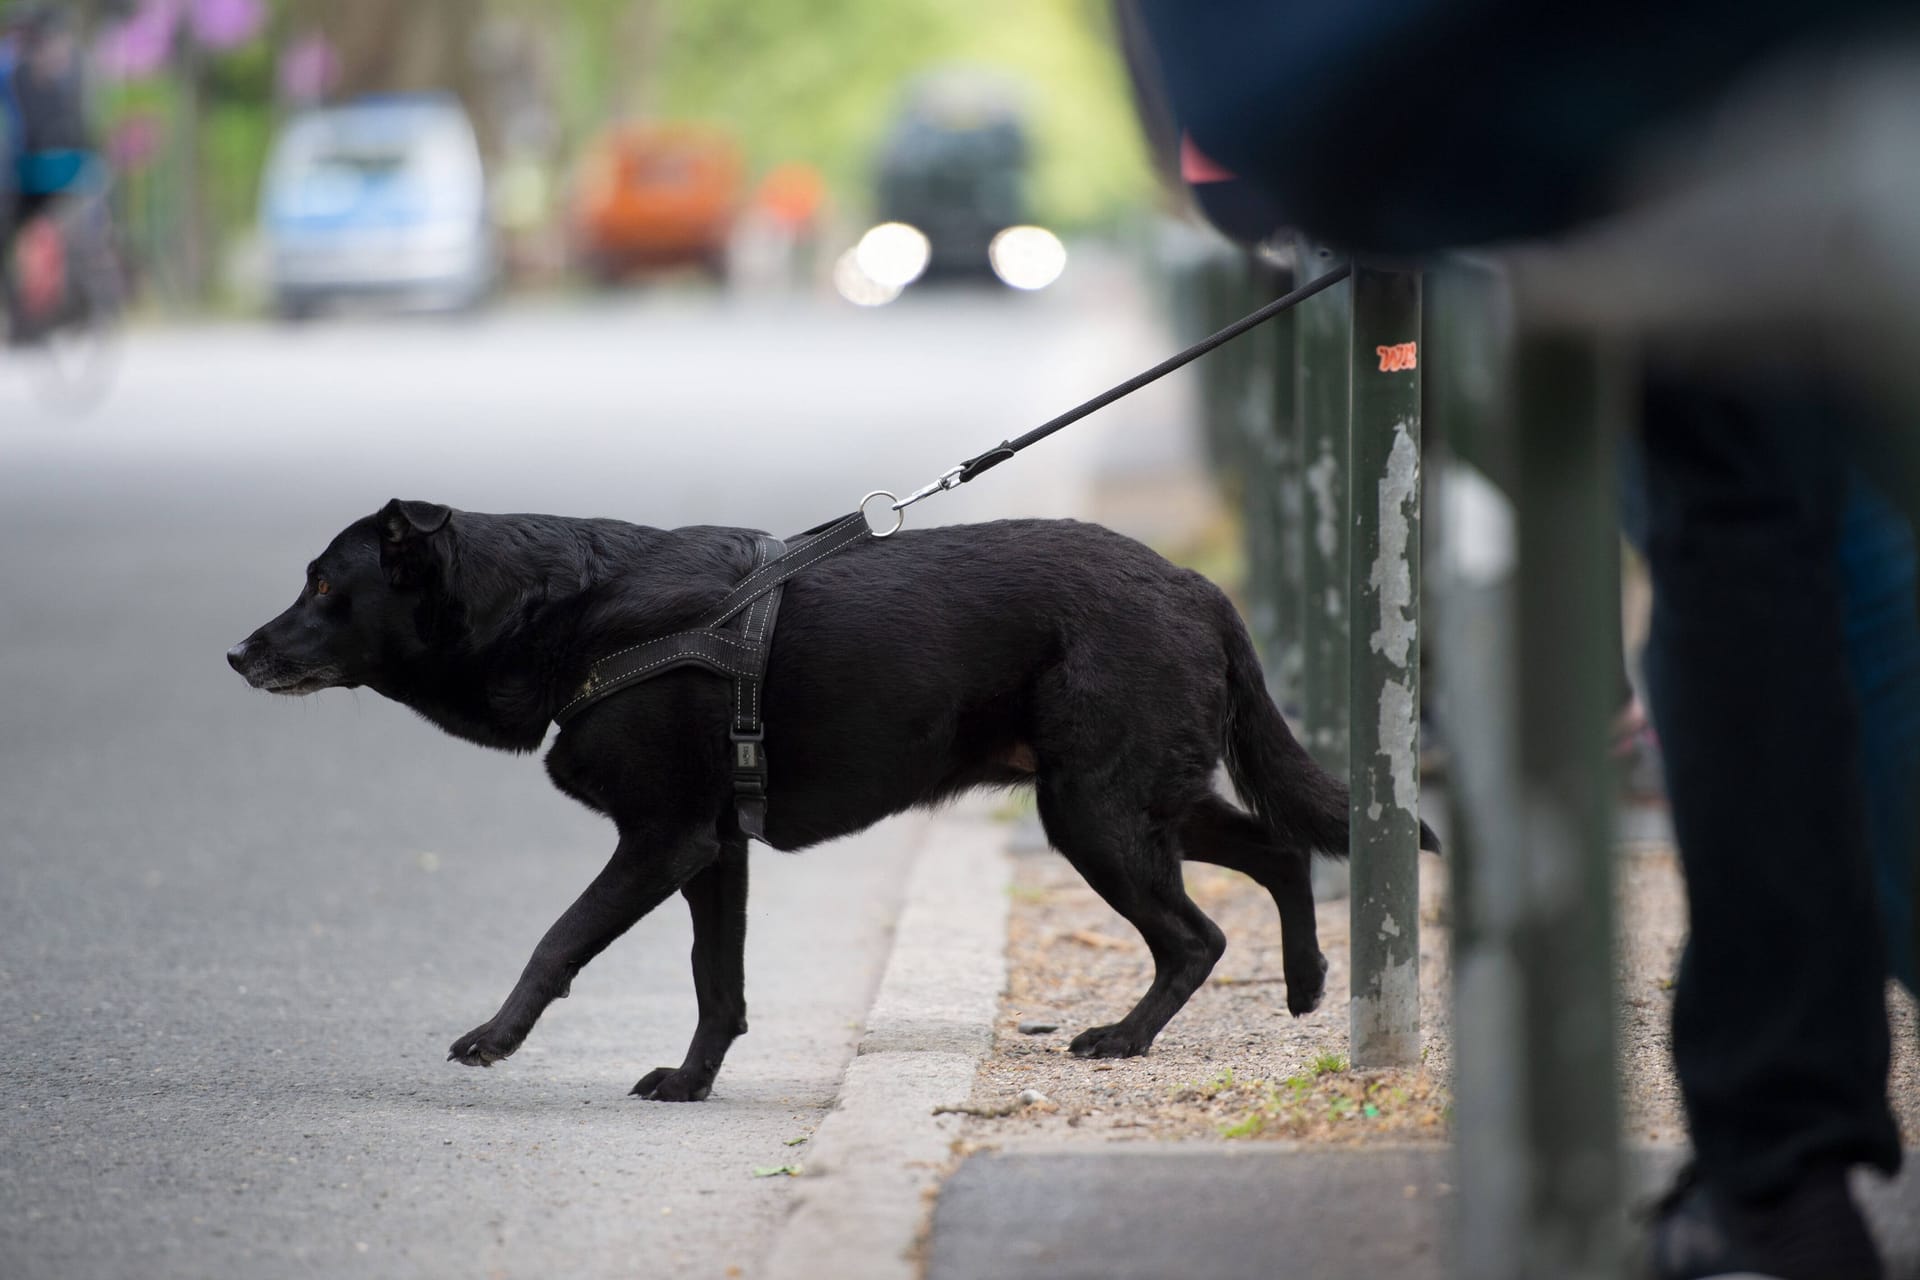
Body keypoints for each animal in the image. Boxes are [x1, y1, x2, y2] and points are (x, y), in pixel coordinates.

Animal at [228, 498, 1443, 1105]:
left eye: (327, 584)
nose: (238, 651)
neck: (565, 610)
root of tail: (1198, 585)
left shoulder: (661, 841)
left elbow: (558, 939)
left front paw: (496, 1037)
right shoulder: (713, 849)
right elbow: (717, 982)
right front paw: (693, 1081)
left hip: (1094, 810)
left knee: (1195, 933)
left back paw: (1126, 1039)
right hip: (1137, 796)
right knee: (1280, 852)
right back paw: (1305, 983)